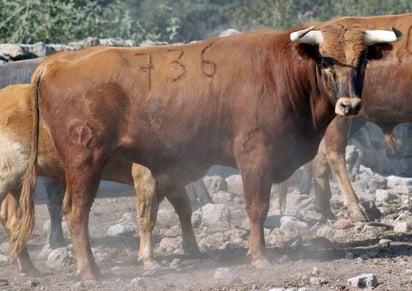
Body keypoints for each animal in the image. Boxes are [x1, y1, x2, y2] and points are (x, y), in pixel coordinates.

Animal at [20, 21, 400, 282]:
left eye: (363, 60)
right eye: (325, 60)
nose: (350, 105)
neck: (284, 72)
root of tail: (58, 61)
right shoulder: (254, 155)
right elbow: (257, 208)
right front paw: (259, 255)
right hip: (85, 160)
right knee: (76, 211)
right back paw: (90, 271)